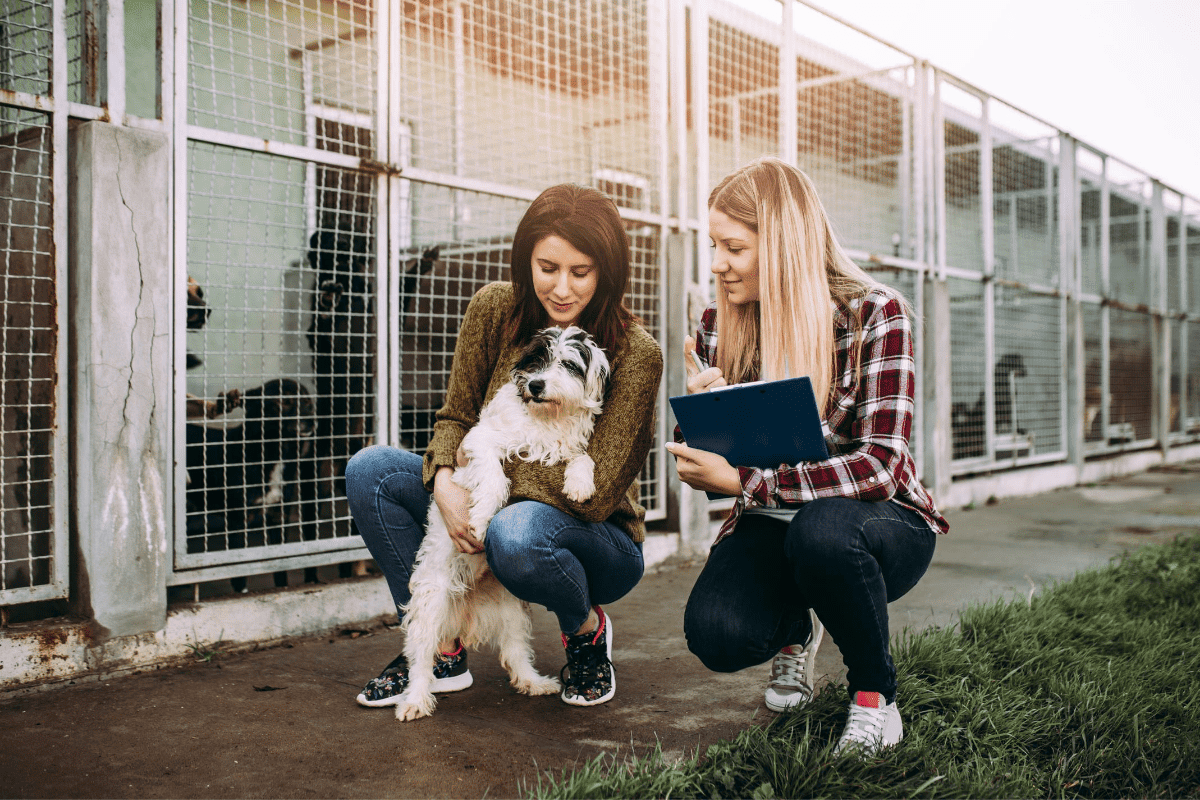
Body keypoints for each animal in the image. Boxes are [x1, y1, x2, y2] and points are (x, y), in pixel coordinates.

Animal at [396, 321, 609, 724]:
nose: (536, 385)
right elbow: (494, 477)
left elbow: (582, 458)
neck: (546, 418)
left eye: (568, 364)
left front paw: (579, 484)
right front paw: (480, 520)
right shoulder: (479, 442)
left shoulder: (569, 447)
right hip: (431, 602)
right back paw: (414, 699)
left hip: (512, 610)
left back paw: (533, 682)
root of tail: (468, 598)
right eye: (537, 360)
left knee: (514, 651)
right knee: (421, 657)